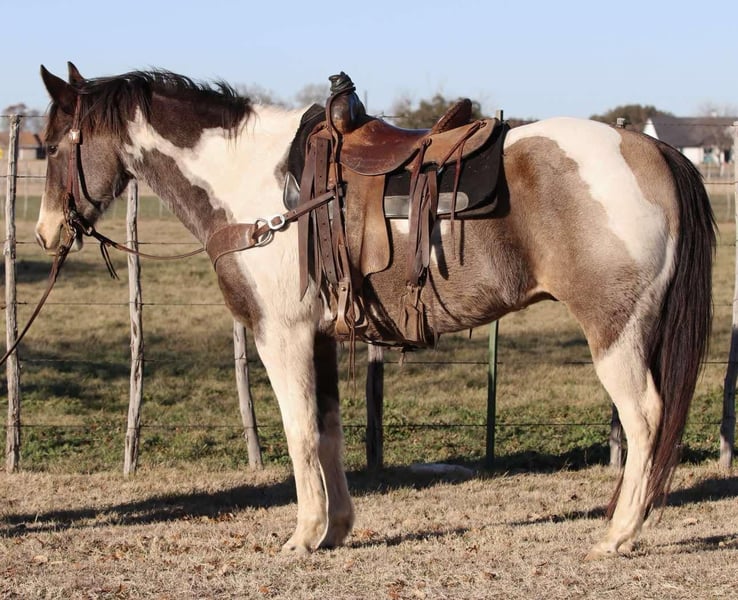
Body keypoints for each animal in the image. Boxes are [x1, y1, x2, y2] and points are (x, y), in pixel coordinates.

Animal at [35, 62, 715, 559]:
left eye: (53, 146)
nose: (45, 233)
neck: (261, 188)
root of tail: (650, 149)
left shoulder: (280, 335)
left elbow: (298, 431)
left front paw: (301, 537)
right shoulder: (320, 337)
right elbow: (328, 432)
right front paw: (334, 529)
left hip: (615, 333)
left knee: (645, 420)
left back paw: (616, 536)